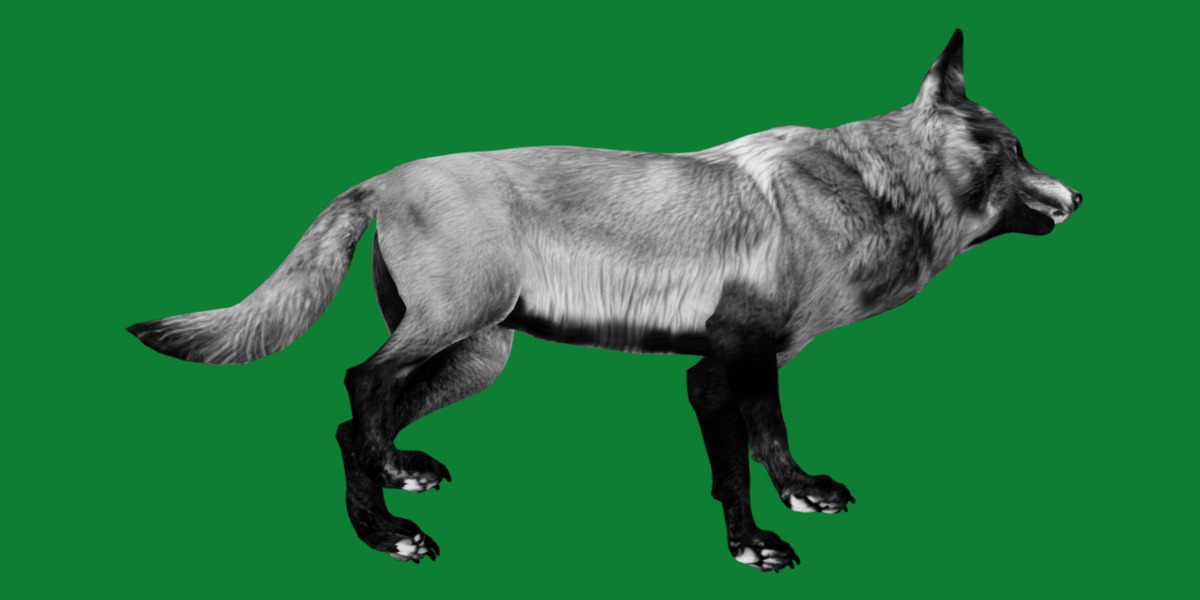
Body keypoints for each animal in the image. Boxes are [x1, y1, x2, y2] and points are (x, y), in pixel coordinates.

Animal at [128, 30, 1081, 571]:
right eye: (1013, 152)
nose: (1077, 197)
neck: (874, 192)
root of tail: (380, 177)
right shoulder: (719, 367)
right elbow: (739, 467)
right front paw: (752, 546)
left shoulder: (751, 367)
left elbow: (770, 445)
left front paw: (801, 496)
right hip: (457, 331)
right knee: (357, 391)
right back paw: (387, 534)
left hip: (479, 353)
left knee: (362, 417)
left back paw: (399, 477)